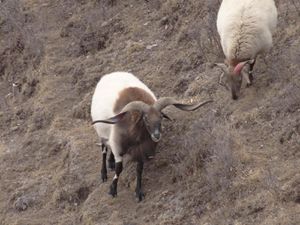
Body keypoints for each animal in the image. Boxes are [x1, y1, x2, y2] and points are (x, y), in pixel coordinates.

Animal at [91, 71, 211, 200]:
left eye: (161, 117)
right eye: (145, 119)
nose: (156, 135)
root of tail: (111, 74)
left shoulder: (141, 150)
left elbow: (139, 169)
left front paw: (139, 192)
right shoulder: (118, 145)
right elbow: (119, 168)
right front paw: (112, 189)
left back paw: (111, 162)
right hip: (102, 133)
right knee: (103, 149)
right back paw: (104, 173)